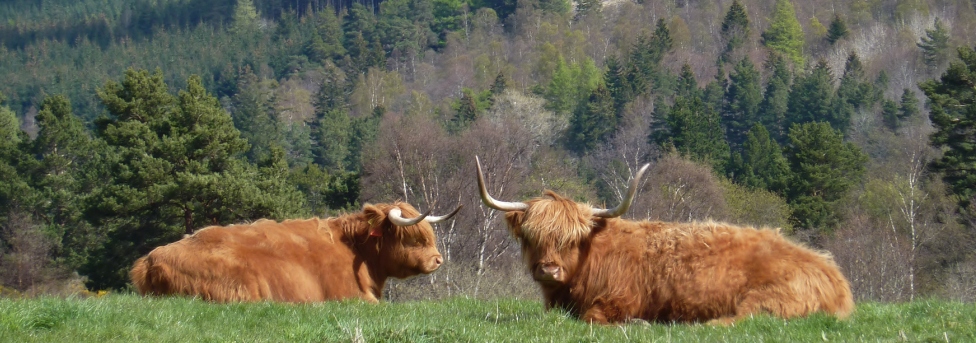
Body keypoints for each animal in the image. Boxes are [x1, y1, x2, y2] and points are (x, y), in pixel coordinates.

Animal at [474, 158, 856, 326]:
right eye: (531, 237)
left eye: (572, 239)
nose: (548, 270)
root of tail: (834, 276)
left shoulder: (616, 302)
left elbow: (595, 318)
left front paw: (641, 322)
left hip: (766, 300)